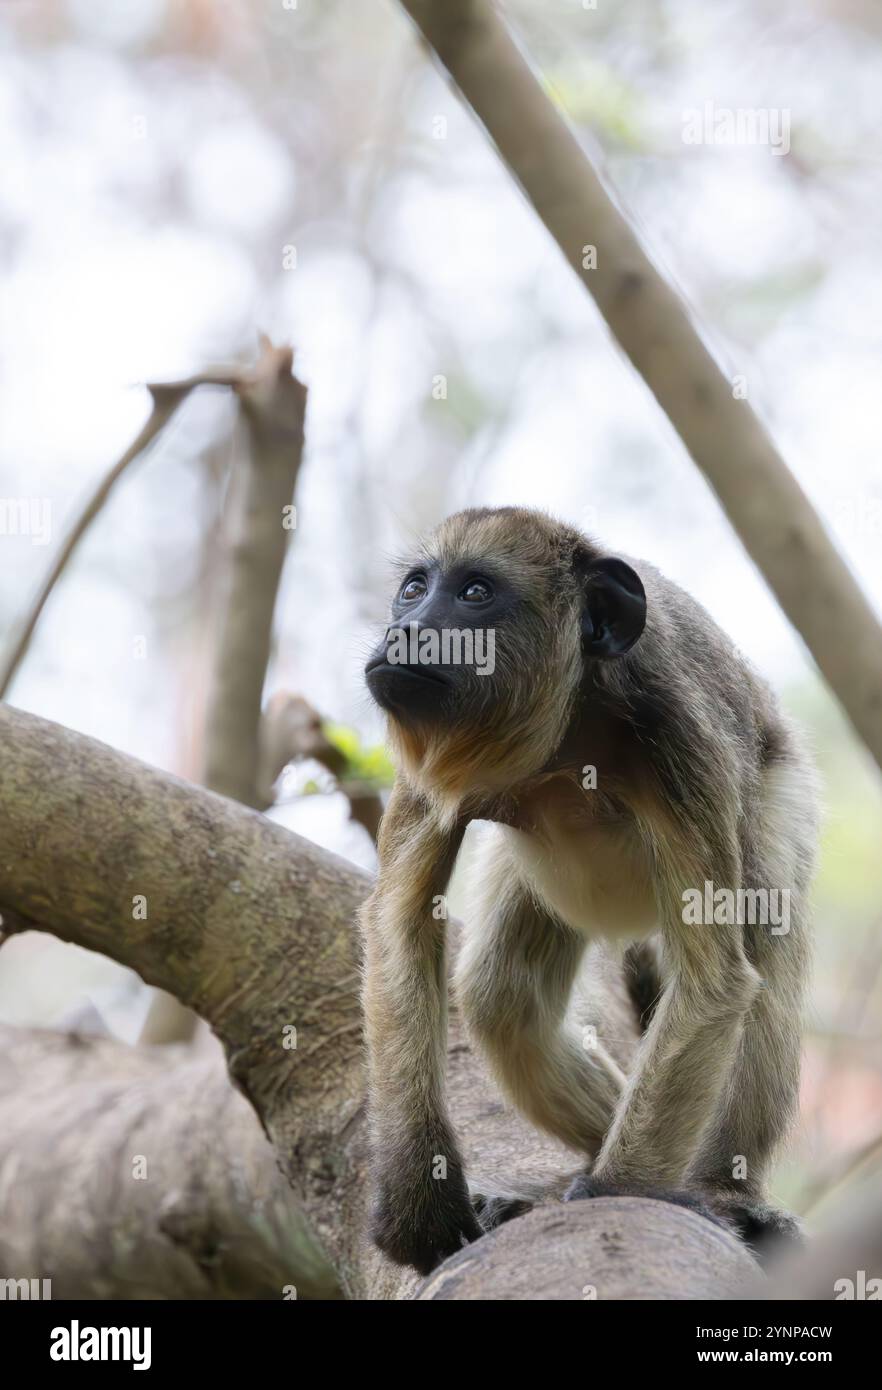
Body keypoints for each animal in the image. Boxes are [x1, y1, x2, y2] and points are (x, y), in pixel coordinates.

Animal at [361, 508, 816, 1273]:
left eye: (475, 592)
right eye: (415, 589)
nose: (407, 629)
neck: (568, 729)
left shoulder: (674, 735)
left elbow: (717, 980)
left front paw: (617, 1190)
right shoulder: (425, 747)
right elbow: (399, 922)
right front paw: (417, 1201)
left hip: (777, 784)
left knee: (765, 959)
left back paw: (720, 1195)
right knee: (501, 996)